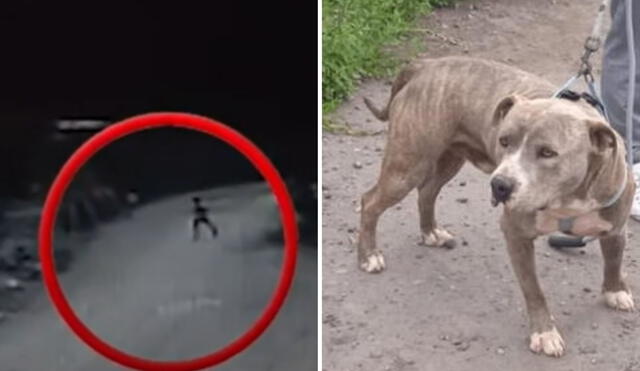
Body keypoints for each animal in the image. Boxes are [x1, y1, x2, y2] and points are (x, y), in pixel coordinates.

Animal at [360, 57, 636, 358]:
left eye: (548, 152)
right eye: (504, 141)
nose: (500, 185)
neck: (567, 198)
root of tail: (424, 65)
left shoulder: (615, 228)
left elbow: (614, 260)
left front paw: (615, 291)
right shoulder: (516, 233)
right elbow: (533, 289)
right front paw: (544, 332)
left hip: (450, 158)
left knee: (427, 192)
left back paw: (430, 231)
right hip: (407, 166)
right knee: (369, 202)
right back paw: (369, 256)